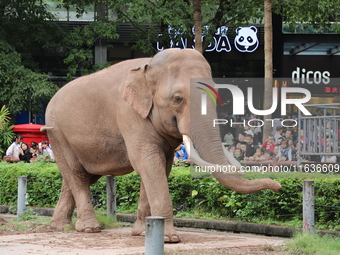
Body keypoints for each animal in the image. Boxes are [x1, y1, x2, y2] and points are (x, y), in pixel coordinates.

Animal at [42, 48, 282, 243]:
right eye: (177, 99)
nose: (278, 186)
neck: (148, 66)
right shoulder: (128, 114)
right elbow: (147, 161)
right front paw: (169, 239)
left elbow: (160, 166)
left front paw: (143, 232)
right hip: (57, 132)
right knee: (76, 174)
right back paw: (89, 229)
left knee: (80, 176)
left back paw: (60, 227)